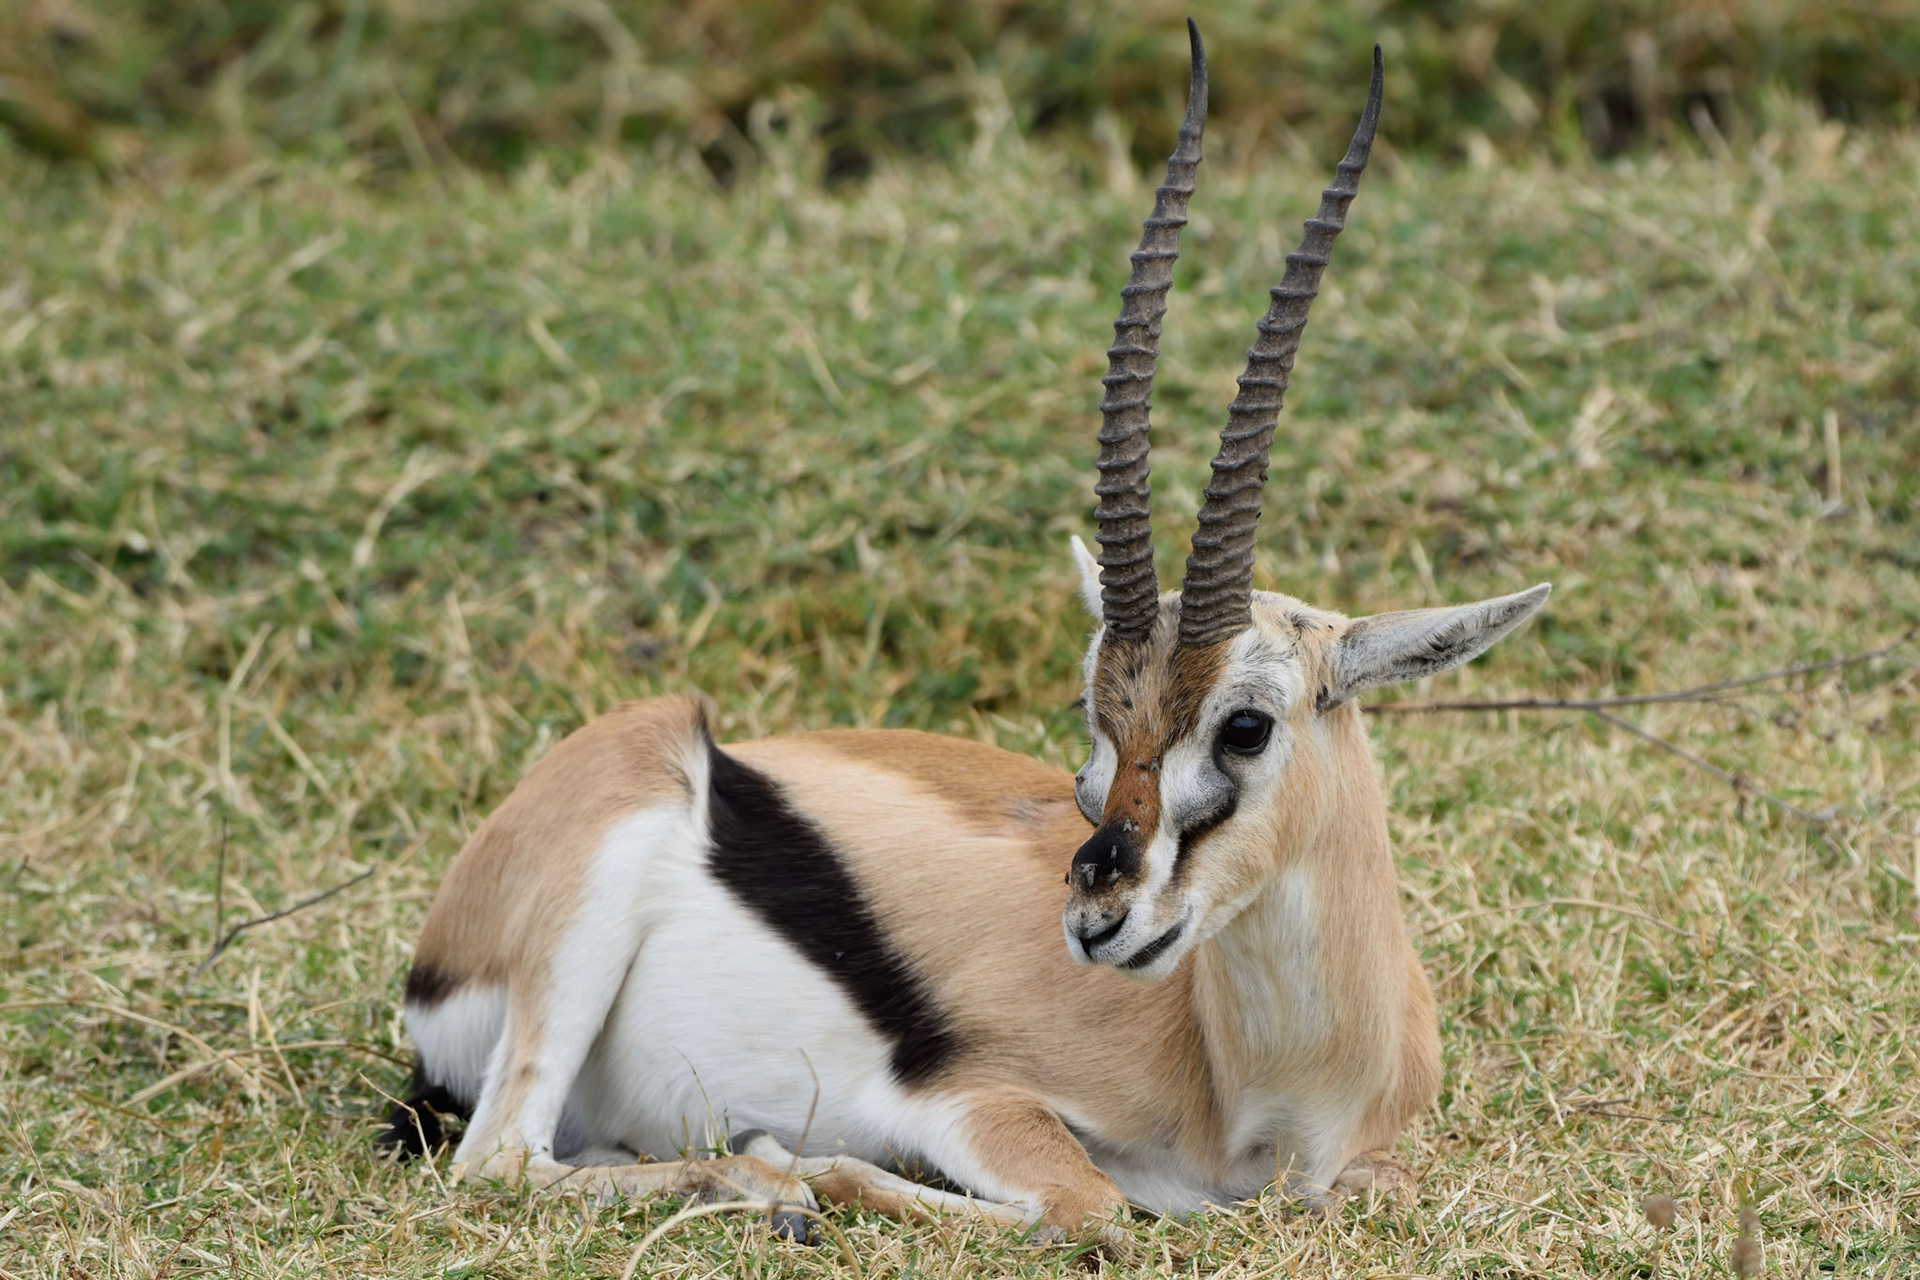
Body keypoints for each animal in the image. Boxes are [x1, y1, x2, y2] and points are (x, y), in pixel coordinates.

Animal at [383, 22, 1549, 1242]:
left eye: (1246, 724)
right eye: (1095, 723)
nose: (1096, 918)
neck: (1264, 1094)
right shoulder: (963, 1101)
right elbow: (1086, 1208)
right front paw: (797, 1164)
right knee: (502, 1160)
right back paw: (768, 1184)